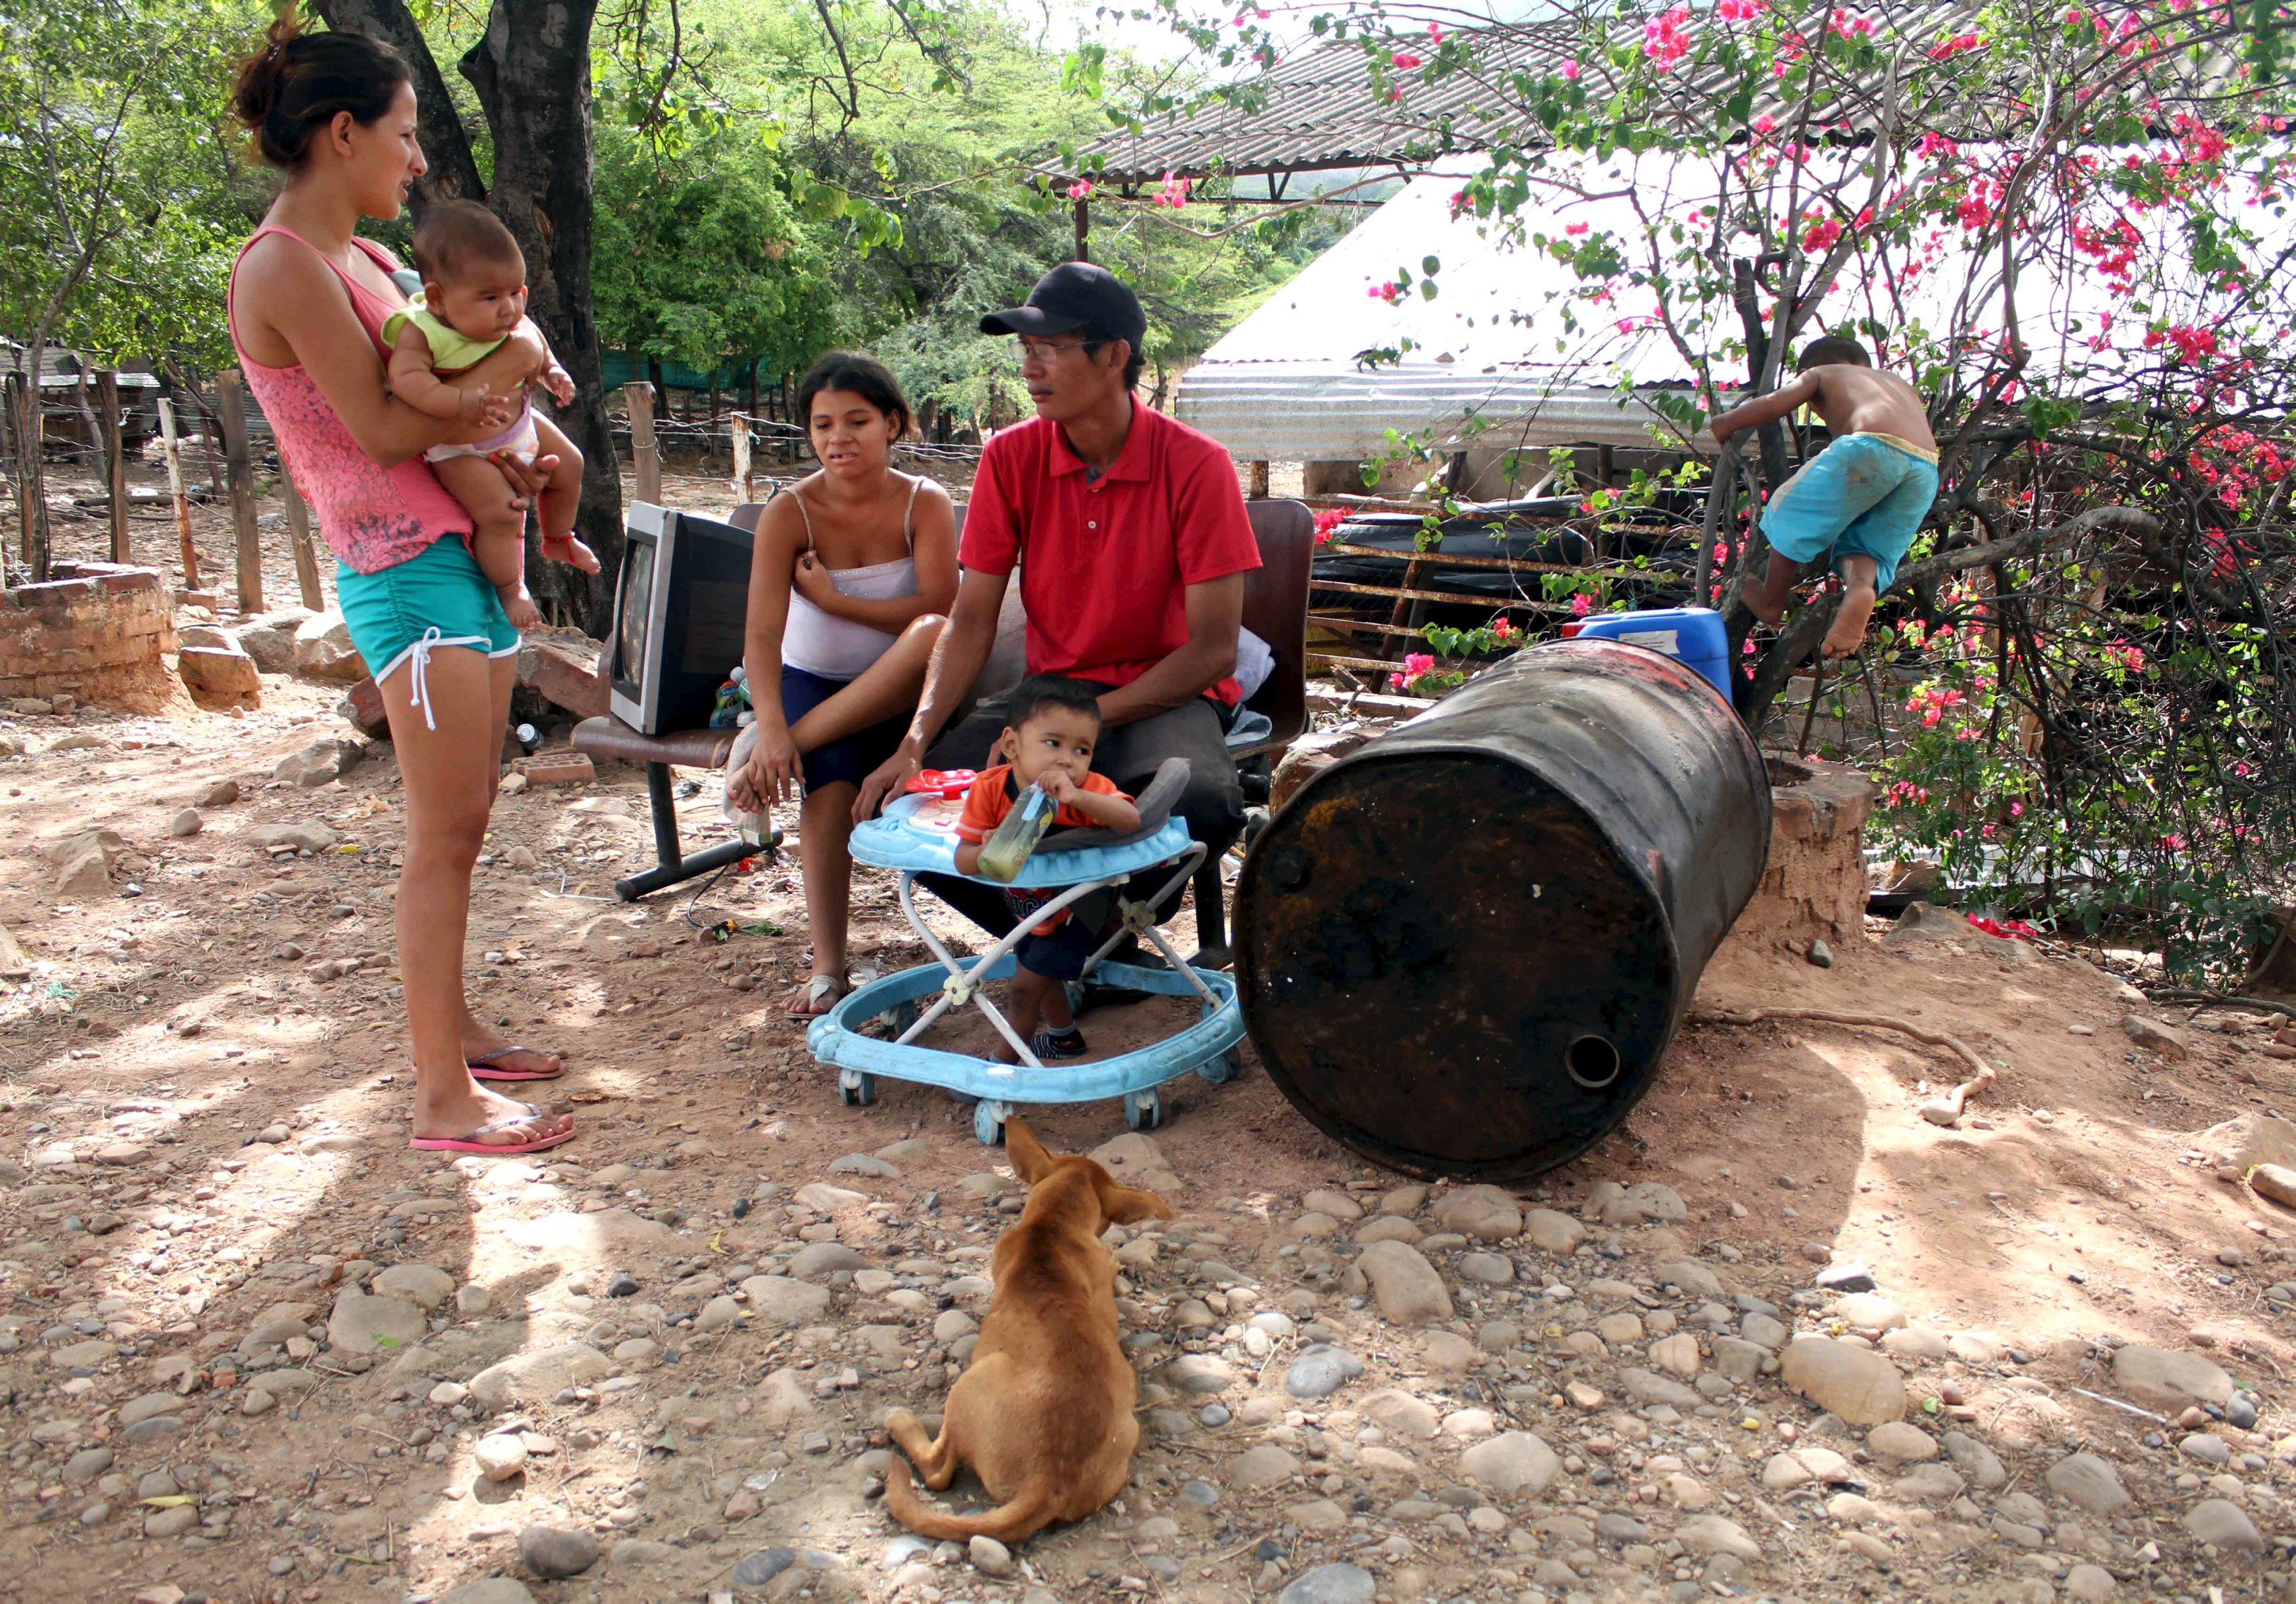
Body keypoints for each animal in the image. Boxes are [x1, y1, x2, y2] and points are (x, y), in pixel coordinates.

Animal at [877, 1115, 1166, 1542]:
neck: (1051, 1227)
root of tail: (1048, 1482)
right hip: (1127, 1430)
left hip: (972, 1382)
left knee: (937, 1471)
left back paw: (901, 1423)